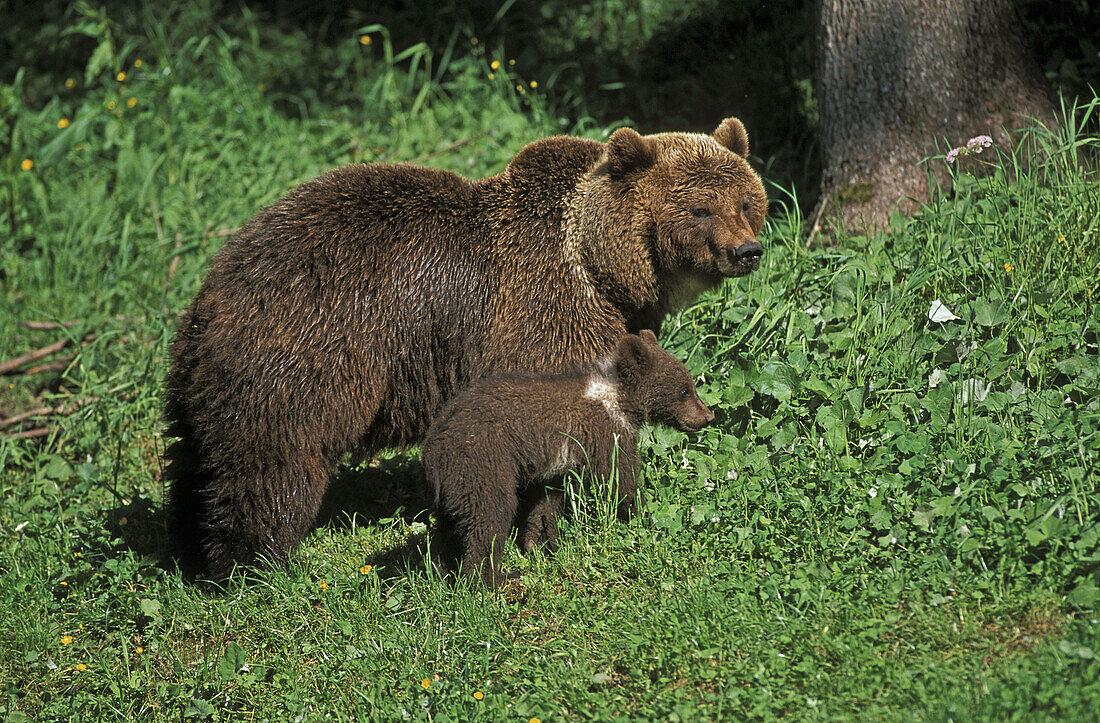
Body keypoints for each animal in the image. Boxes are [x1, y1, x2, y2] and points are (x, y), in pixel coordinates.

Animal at [165, 115, 765, 576]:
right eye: (700, 208)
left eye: (745, 201)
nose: (748, 251)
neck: (603, 269)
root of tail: (213, 291)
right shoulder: (546, 316)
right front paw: (545, 525)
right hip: (306, 358)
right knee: (273, 464)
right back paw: (255, 562)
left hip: (200, 380)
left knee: (197, 462)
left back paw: (189, 550)